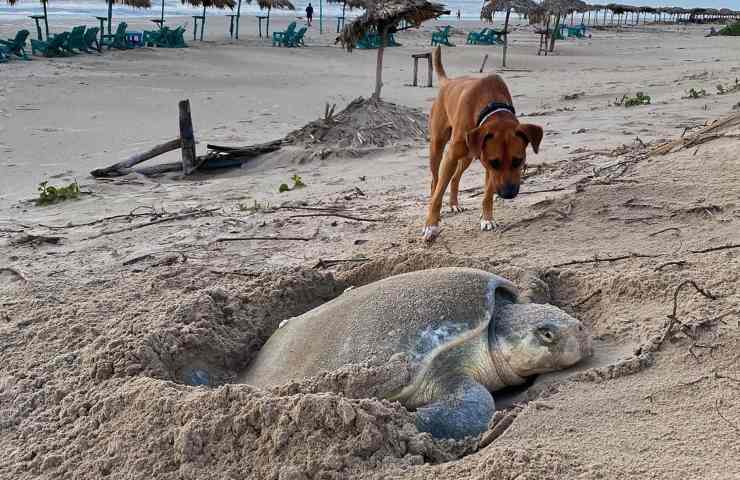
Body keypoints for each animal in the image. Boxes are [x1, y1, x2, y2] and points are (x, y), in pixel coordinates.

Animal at [422, 47, 544, 242]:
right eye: (495, 162)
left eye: (518, 160)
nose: (509, 194)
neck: (490, 104)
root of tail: (448, 82)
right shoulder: (456, 157)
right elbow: (440, 191)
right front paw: (431, 225)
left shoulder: (486, 163)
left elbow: (487, 193)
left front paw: (487, 218)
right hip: (438, 147)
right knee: (436, 181)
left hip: (469, 155)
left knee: (455, 177)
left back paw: (454, 203)